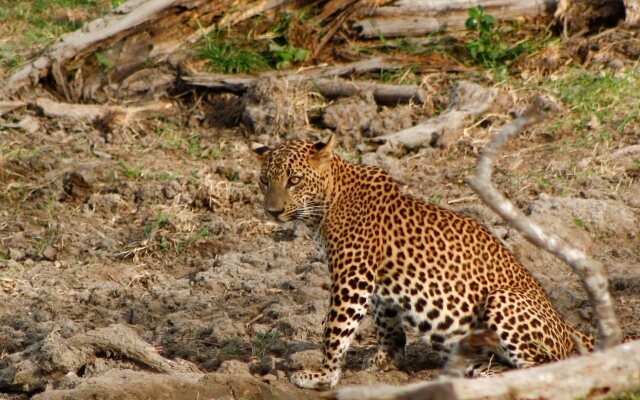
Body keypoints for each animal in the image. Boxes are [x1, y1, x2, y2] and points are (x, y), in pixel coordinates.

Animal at [250, 134, 596, 388]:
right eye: (264, 181)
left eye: (294, 180)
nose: (271, 211)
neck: (328, 201)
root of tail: (570, 327)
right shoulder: (379, 281)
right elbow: (387, 323)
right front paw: (387, 359)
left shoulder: (352, 276)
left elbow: (336, 328)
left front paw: (323, 375)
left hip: (503, 299)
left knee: (549, 365)